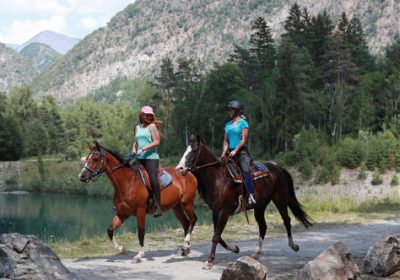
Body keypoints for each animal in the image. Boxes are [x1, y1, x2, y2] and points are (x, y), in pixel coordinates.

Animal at [176, 136, 312, 270]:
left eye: (194, 150)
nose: (179, 169)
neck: (218, 179)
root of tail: (279, 168)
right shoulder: (215, 211)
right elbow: (218, 236)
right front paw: (235, 249)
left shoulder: (224, 212)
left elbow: (216, 236)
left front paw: (209, 261)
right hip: (260, 206)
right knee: (263, 226)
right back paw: (256, 254)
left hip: (280, 199)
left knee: (286, 220)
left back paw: (294, 246)